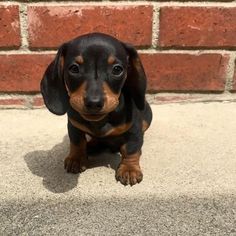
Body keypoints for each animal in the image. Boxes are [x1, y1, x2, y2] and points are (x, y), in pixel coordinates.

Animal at [40, 32, 152, 185]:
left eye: (117, 69)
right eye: (74, 68)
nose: (93, 103)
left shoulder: (134, 129)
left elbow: (131, 149)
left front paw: (129, 169)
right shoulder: (74, 125)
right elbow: (77, 142)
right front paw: (76, 158)